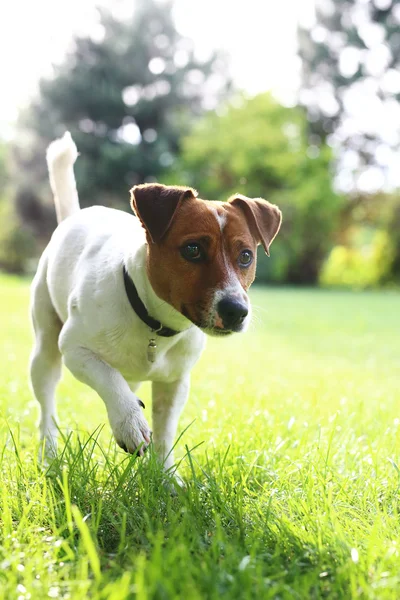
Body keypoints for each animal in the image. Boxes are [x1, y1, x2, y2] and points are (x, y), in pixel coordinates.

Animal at [29, 131, 282, 474]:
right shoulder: (75, 349)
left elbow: (164, 433)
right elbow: (109, 380)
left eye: (245, 256)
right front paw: (129, 422)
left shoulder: (175, 381)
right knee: (48, 409)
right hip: (45, 351)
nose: (236, 311)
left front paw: (165, 477)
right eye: (192, 250)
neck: (152, 320)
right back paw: (50, 454)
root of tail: (74, 217)